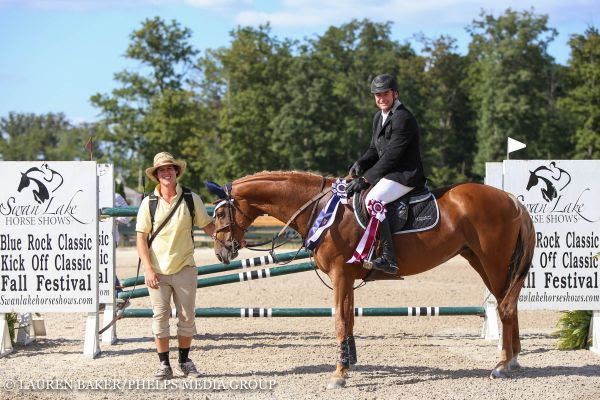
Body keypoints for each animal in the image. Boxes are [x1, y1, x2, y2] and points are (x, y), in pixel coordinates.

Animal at [211, 171, 536, 388]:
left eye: (221, 214)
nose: (221, 251)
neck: (322, 209)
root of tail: (510, 199)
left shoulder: (341, 274)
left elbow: (340, 321)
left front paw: (339, 374)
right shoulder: (347, 277)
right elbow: (349, 320)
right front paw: (349, 362)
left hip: (493, 261)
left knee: (506, 307)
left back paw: (502, 364)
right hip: (481, 261)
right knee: (507, 303)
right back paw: (513, 359)